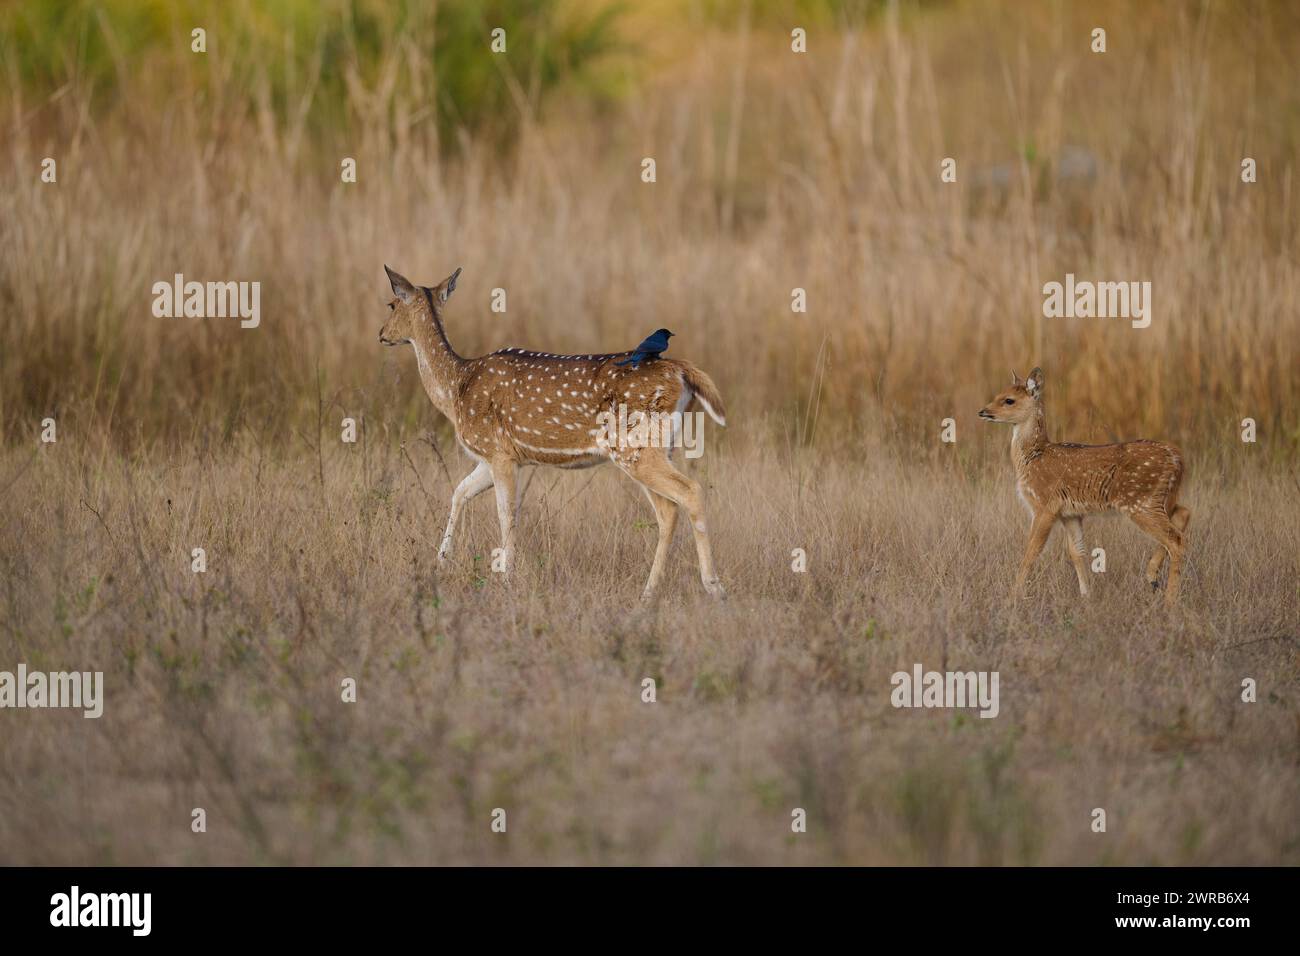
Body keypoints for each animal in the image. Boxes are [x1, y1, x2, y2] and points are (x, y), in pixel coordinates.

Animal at [378, 265, 727, 600]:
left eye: (391, 304)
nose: (381, 334)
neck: (456, 389)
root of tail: (682, 371)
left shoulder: (498, 452)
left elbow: (506, 514)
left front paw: (506, 578)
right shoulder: (494, 457)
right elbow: (459, 492)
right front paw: (440, 561)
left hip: (635, 446)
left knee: (689, 492)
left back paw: (713, 586)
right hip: (656, 447)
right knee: (668, 509)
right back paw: (649, 592)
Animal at [978, 367, 1190, 607]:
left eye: (1009, 400)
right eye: (998, 394)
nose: (983, 411)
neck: (1033, 457)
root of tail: (1177, 459)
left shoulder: (1044, 504)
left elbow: (1032, 550)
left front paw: (1011, 597)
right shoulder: (1070, 514)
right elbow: (1077, 552)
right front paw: (1087, 597)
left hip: (1139, 500)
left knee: (1176, 539)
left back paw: (1169, 601)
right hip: (1160, 497)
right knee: (1184, 513)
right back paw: (1152, 577)